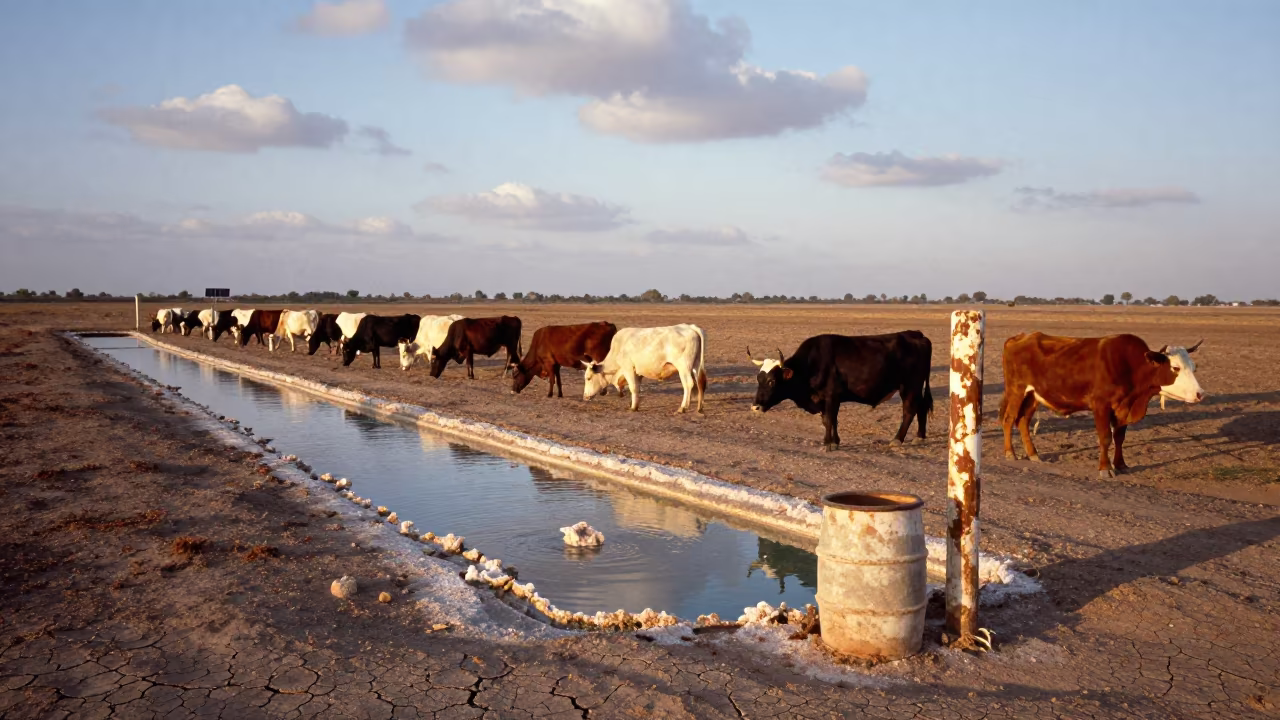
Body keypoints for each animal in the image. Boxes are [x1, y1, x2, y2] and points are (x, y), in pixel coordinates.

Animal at [748, 331, 934, 451]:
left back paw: (897, 440)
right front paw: (834, 442)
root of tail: (917, 335)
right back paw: (920, 437)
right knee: (921, 407)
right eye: (758, 379)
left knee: (909, 411)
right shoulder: (826, 400)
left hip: (909, 387)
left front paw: (828, 444)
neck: (811, 365)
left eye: (772, 381)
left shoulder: (831, 396)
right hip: (916, 387)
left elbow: (829, 420)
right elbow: (830, 421)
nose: (755, 407)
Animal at [1000, 333, 1205, 478]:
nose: (1200, 394)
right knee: (1009, 419)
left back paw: (1033, 454)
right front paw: (1106, 468)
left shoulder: (1123, 408)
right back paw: (1010, 453)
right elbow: (1105, 438)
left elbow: (1119, 438)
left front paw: (1121, 465)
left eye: (1194, 367)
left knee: (1023, 422)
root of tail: (1018, 337)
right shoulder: (1101, 406)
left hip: (1033, 396)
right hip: (1017, 391)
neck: (1130, 367)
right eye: (1176, 368)